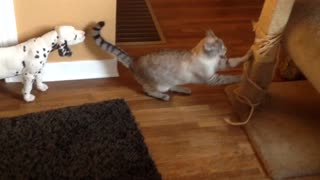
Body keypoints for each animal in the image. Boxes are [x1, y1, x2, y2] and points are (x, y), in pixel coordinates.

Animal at [91, 21, 251, 100]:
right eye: (221, 47)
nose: (226, 50)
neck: (211, 60)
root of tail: (134, 60)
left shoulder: (220, 64)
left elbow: (235, 61)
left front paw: (250, 54)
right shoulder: (212, 78)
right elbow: (229, 78)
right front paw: (243, 78)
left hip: (171, 80)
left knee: (172, 86)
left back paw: (184, 89)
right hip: (157, 85)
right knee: (148, 91)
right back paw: (164, 96)